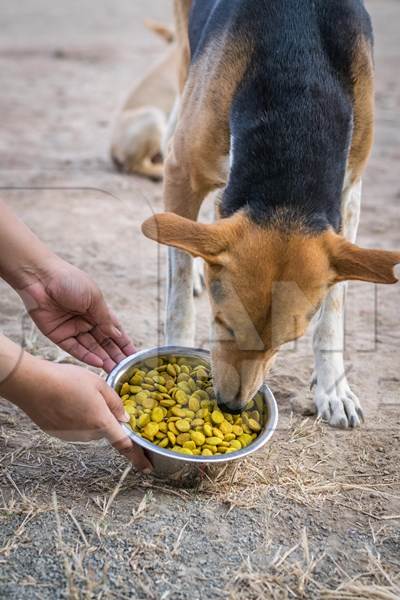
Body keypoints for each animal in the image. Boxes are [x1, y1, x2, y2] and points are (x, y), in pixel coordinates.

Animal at [142, 2, 398, 428]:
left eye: (286, 342)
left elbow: (334, 309)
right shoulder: (183, 174)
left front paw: (333, 388)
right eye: (223, 324)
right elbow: (177, 292)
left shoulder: (349, 194)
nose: (231, 406)